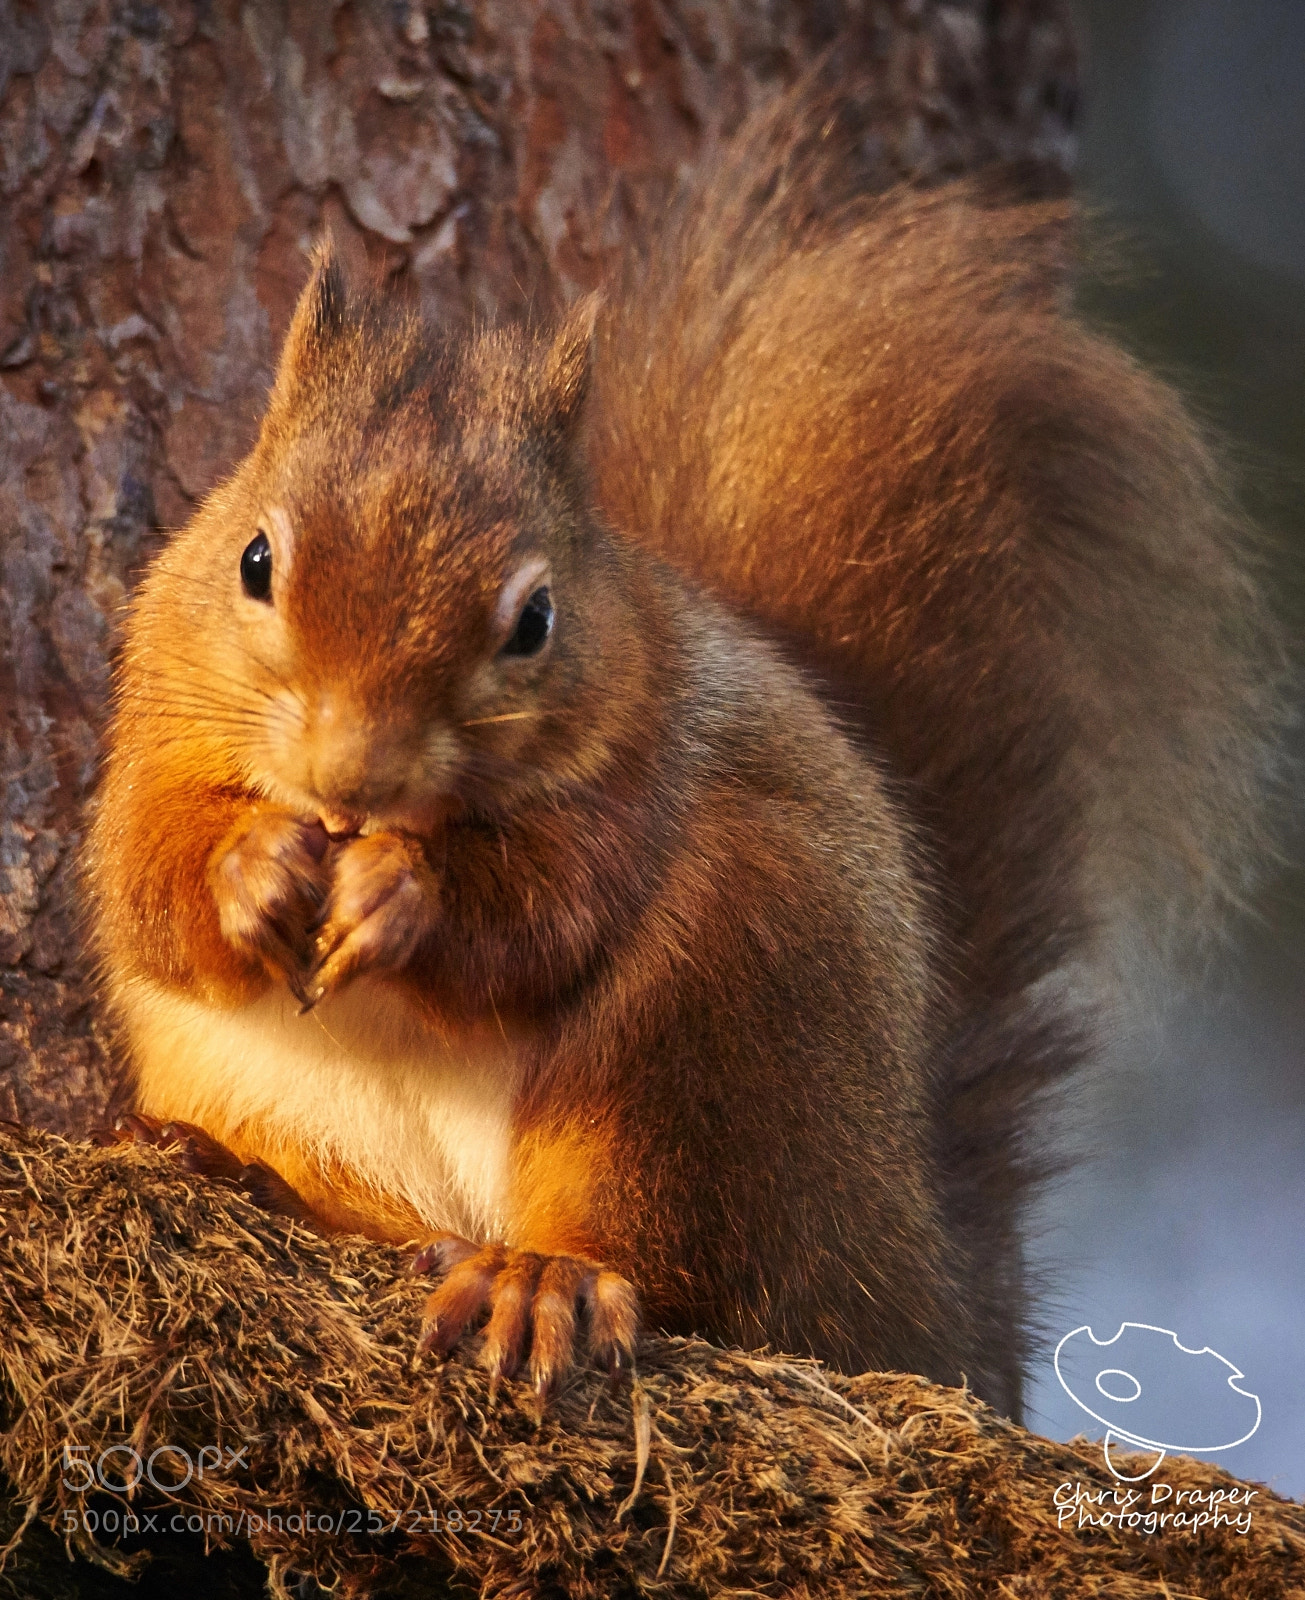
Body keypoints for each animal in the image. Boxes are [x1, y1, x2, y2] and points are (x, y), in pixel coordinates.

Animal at [83, 86, 1282, 1418]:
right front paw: (252, 867)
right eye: (254, 560)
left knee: (675, 1257)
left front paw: (405, 892)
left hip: (715, 1019)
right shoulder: (147, 722)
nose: (354, 775)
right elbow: (143, 877)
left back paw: (542, 1276)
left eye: (536, 620)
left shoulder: (641, 767)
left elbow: (544, 913)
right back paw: (216, 1162)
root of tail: (912, 1265)